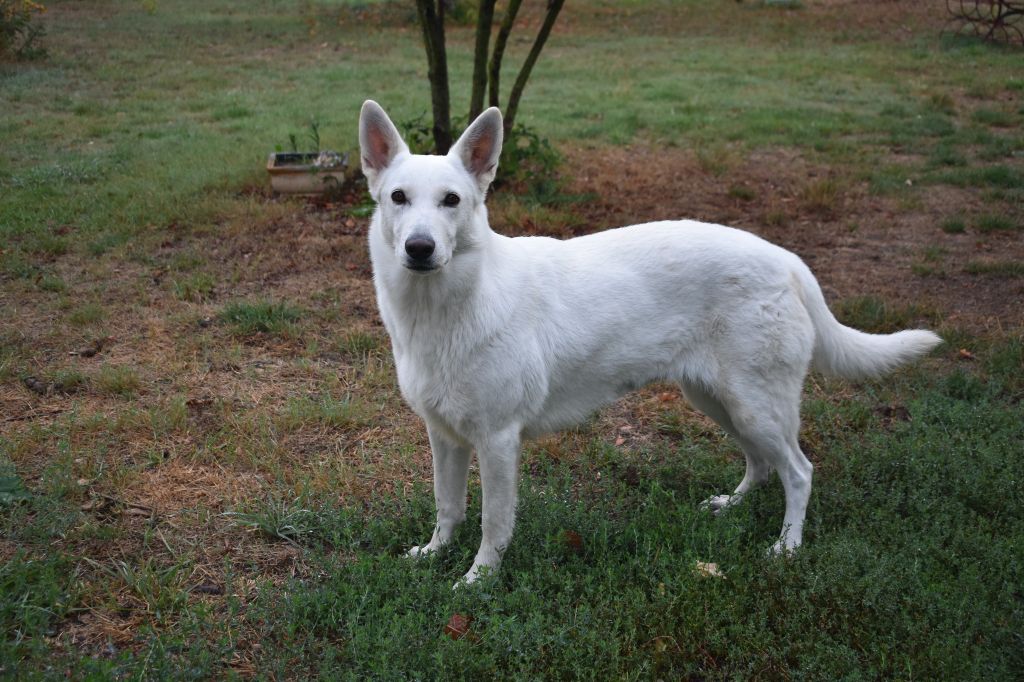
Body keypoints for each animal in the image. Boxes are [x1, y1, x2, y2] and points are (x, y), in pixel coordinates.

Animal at [360, 100, 942, 585]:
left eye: (452, 201)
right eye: (399, 198)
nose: (419, 248)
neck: (447, 307)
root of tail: (787, 260)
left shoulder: (498, 440)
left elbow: (492, 522)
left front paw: (478, 580)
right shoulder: (446, 437)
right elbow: (448, 507)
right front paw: (434, 554)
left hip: (755, 406)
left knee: (798, 472)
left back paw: (787, 547)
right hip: (719, 400)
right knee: (760, 463)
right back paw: (731, 507)